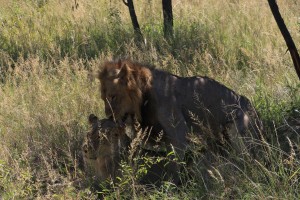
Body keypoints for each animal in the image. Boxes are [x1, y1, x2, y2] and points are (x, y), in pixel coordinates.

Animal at [98, 59, 262, 181]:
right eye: (103, 98)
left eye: (113, 97)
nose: (108, 116)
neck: (143, 96)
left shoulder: (178, 135)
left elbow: (174, 168)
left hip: (237, 130)